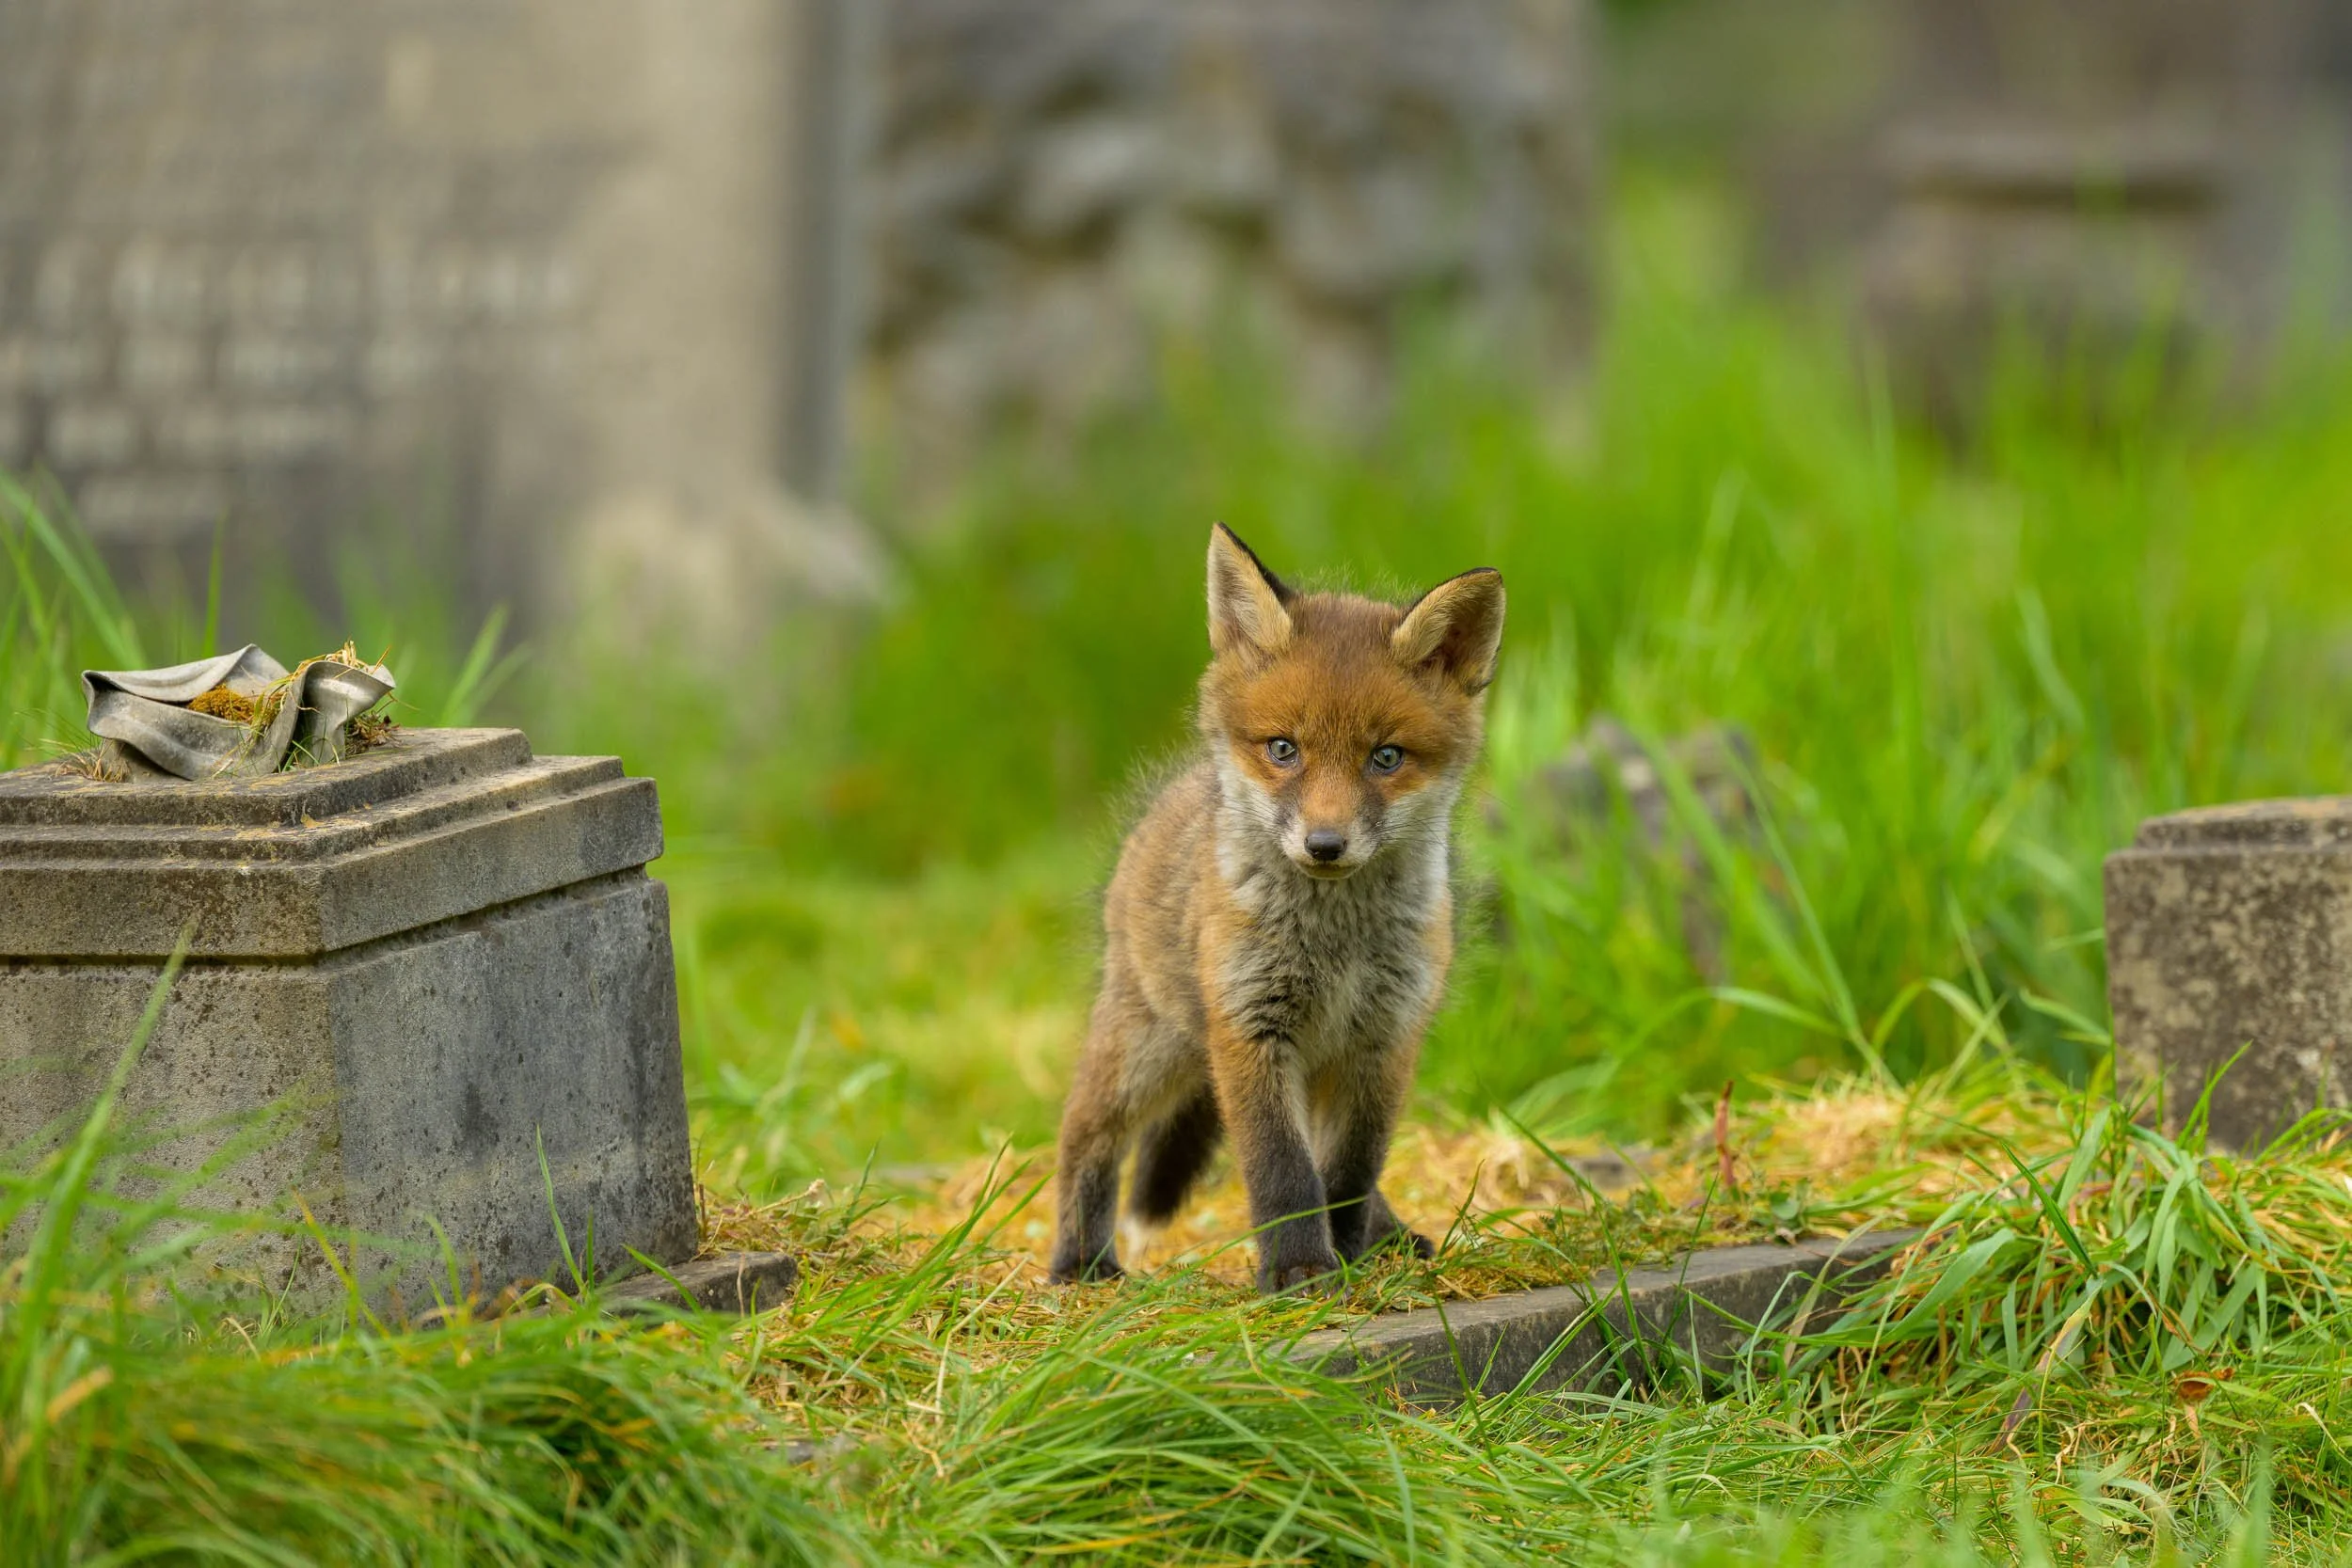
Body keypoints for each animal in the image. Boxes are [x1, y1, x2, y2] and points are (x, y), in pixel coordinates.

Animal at [1048, 524, 1505, 1294]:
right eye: (1284, 749)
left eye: (1386, 757)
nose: (1324, 844)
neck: (1335, 941)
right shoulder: (1250, 1028)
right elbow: (1283, 1169)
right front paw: (1298, 1269)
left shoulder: (1384, 1039)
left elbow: (1348, 1171)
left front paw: (1350, 1256)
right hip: (1149, 1047)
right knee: (1085, 1133)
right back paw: (1081, 1260)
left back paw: (1388, 1236)